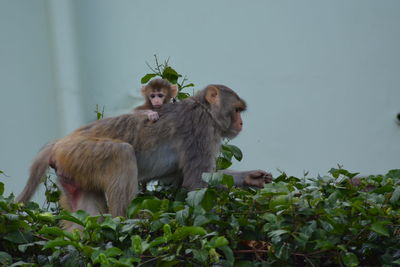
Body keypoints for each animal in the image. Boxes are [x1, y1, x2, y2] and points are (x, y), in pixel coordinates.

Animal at [16, 85, 272, 220]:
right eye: (236, 110)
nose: (241, 123)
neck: (205, 110)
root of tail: (60, 142)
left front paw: (251, 178)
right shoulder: (200, 130)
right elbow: (196, 182)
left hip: (72, 170)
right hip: (80, 153)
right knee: (122, 154)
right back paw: (125, 220)